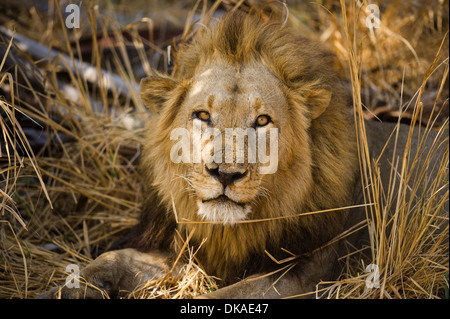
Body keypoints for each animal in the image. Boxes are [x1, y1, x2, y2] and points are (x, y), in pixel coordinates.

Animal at [38, 11, 446, 298]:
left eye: (262, 121)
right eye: (202, 115)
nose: (225, 174)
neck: (233, 231)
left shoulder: (309, 275)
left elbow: (225, 294)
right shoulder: (191, 251)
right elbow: (112, 258)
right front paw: (61, 289)